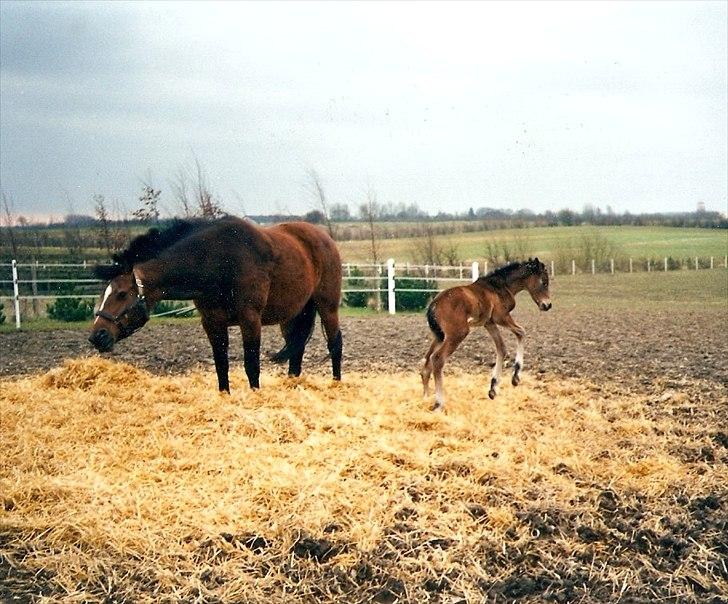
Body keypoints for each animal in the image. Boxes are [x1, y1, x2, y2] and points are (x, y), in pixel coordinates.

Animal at [420, 258, 552, 412]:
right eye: (544, 282)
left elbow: (502, 348)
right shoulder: (501, 317)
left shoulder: (489, 323)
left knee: (427, 363)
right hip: (457, 334)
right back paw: (438, 404)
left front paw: (493, 388)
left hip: (440, 336)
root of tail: (433, 305)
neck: (499, 286)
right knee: (437, 359)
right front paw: (515, 377)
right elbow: (521, 332)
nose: (547, 305)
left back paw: (425, 398)